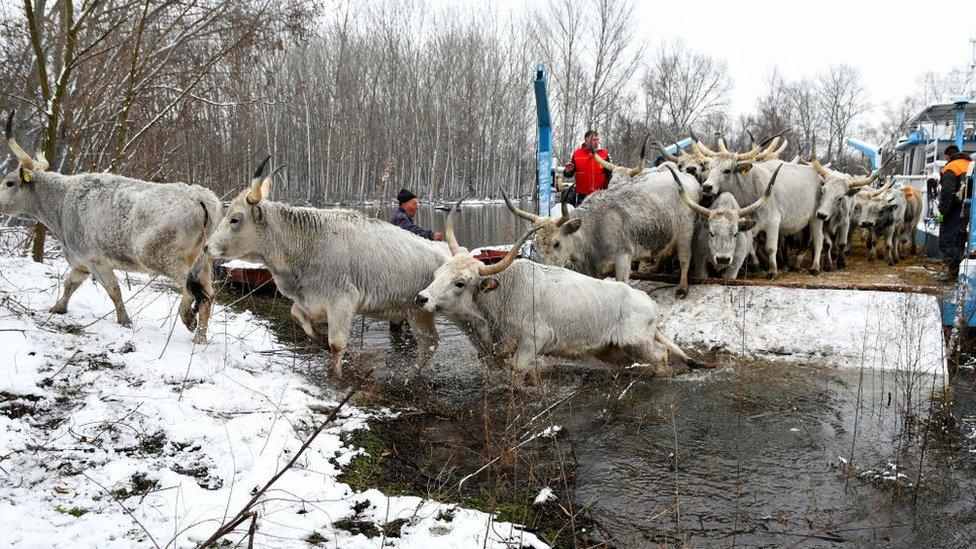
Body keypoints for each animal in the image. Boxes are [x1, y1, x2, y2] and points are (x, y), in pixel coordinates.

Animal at [1, 111, 219, 340]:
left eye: (9, 182)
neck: (62, 201)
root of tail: (198, 195)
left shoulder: (95, 259)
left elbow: (113, 289)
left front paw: (124, 320)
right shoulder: (81, 262)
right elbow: (70, 284)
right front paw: (58, 308)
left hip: (161, 257)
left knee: (189, 288)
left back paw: (187, 317)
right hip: (203, 263)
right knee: (208, 296)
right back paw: (200, 337)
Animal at [208, 157, 452, 372]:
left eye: (235, 219)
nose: (207, 247)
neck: (308, 243)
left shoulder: (342, 301)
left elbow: (337, 345)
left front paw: (336, 376)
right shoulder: (310, 301)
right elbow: (298, 317)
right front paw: (319, 339)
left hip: (420, 313)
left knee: (429, 344)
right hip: (415, 312)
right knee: (430, 343)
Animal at [416, 204, 704, 386]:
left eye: (460, 283)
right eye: (438, 273)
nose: (421, 298)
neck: (506, 291)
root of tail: (649, 304)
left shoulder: (533, 340)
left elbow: (518, 371)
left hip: (637, 343)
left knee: (660, 356)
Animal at [504, 156, 700, 298]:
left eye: (556, 243)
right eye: (535, 245)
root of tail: (685, 177)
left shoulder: (623, 258)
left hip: (686, 229)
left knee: (685, 257)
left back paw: (682, 288)